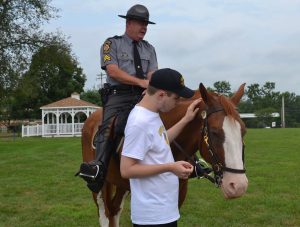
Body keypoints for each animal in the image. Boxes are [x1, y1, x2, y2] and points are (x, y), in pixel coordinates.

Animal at [79, 82, 248, 226]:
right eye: (214, 132)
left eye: (243, 131)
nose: (238, 186)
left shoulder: (177, 195)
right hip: (99, 186)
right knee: (105, 213)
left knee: (115, 210)